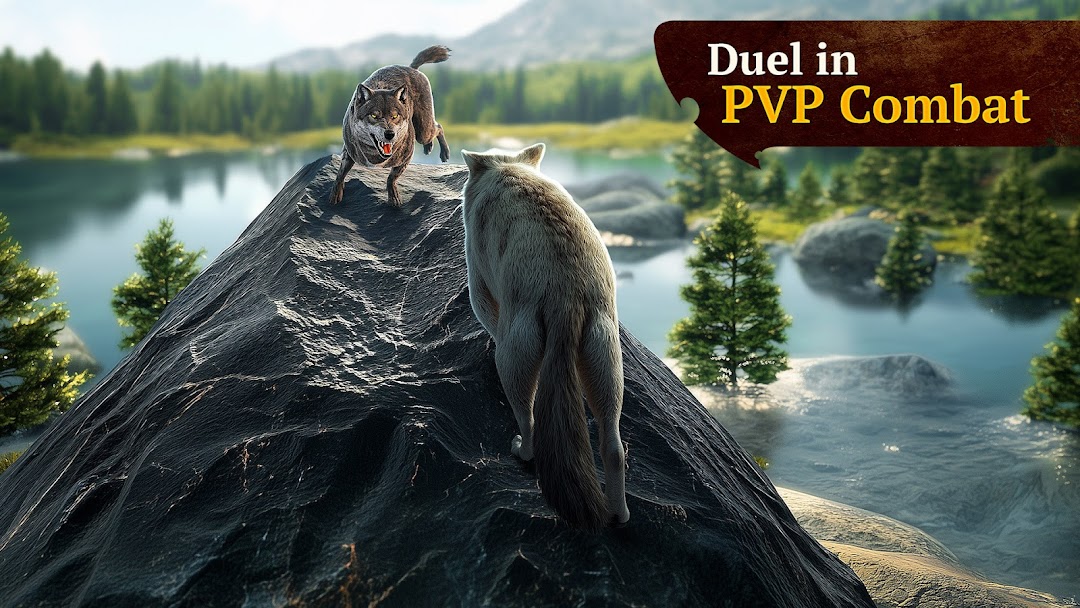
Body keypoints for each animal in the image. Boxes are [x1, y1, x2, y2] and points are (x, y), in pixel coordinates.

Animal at [331, 45, 451, 206]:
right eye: (374, 115)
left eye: (395, 116)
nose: (389, 134)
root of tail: (411, 68)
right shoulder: (348, 151)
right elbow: (341, 172)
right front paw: (335, 194)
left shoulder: (406, 158)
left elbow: (391, 177)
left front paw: (394, 198)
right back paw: (429, 148)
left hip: (423, 131)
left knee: (439, 128)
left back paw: (444, 153)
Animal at [460, 143, 630, 530]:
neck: (507, 168)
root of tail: (567, 297)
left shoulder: (478, 275)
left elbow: (485, 314)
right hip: (604, 353)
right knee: (612, 445)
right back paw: (619, 513)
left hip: (516, 353)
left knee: (529, 418)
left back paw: (521, 449)